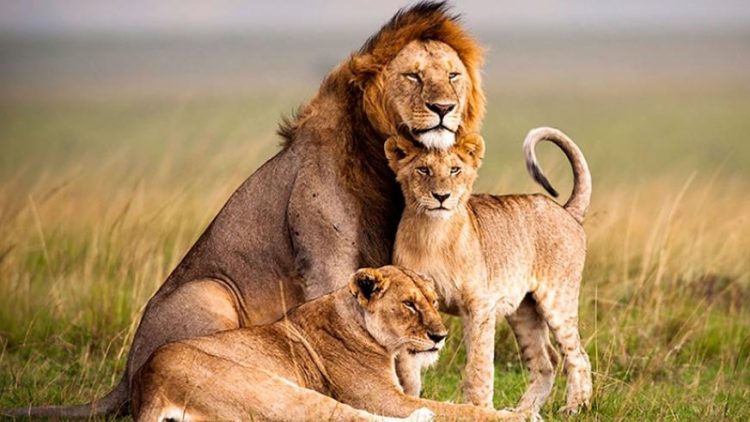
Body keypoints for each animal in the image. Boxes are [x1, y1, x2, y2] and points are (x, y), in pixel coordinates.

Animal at [2, 2, 488, 419]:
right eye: (412, 76)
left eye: (452, 76)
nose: (443, 109)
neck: (381, 161)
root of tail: (125, 378)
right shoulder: (327, 261)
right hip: (209, 292)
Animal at [130, 266, 528, 422]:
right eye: (409, 304)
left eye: (432, 300)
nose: (440, 336)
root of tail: (149, 384)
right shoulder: (384, 398)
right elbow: (459, 410)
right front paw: (515, 415)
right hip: (271, 389)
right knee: (347, 417)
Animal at [385, 128, 593, 415]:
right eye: (423, 170)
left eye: (455, 170)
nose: (441, 197)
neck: (432, 234)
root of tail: (566, 210)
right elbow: (408, 369)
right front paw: (409, 402)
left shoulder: (479, 306)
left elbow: (479, 366)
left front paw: (479, 408)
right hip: (523, 311)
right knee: (546, 361)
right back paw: (523, 412)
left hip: (558, 300)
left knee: (578, 355)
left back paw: (574, 407)